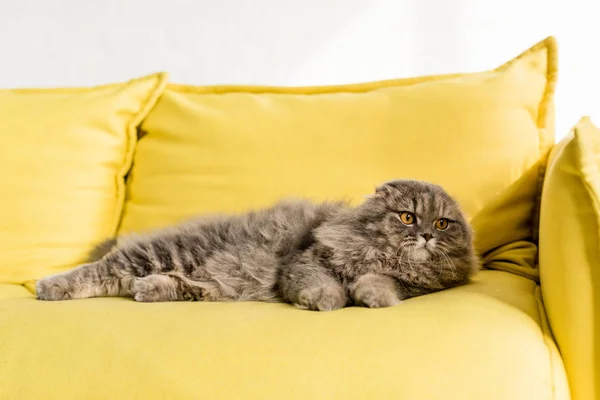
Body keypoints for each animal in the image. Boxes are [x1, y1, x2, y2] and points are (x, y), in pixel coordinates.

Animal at [36, 180, 478, 310]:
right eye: (408, 217)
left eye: (442, 223)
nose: (427, 235)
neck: (383, 256)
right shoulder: (307, 262)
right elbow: (324, 286)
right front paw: (326, 301)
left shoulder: (414, 285)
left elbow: (382, 285)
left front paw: (372, 296)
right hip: (166, 252)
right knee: (101, 271)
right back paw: (49, 287)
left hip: (210, 285)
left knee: (166, 284)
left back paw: (149, 290)